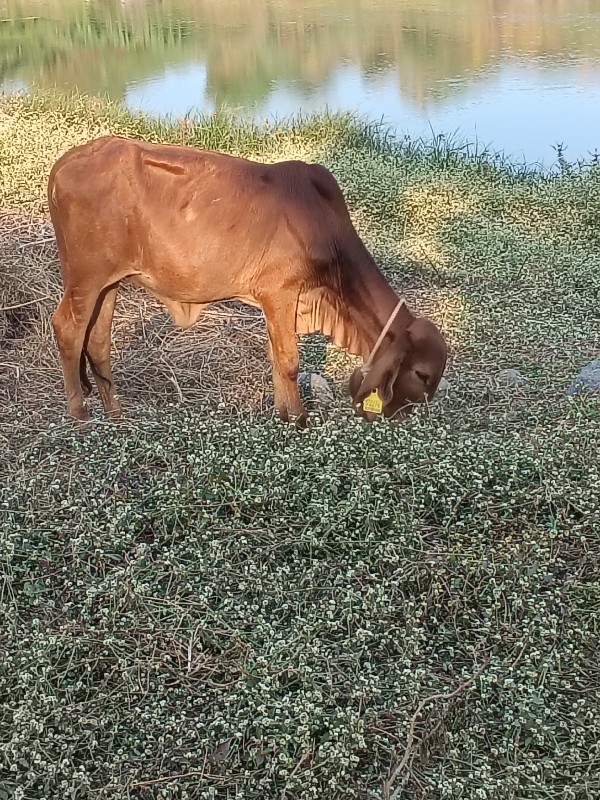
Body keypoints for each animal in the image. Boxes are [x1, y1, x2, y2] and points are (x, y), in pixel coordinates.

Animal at [48, 136, 446, 424]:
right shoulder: (281, 293)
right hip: (85, 277)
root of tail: (62, 164)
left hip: (108, 283)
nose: (405, 416)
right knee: (68, 328)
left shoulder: (276, 303)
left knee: (97, 341)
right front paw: (298, 420)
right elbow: (289, 361)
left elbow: (275, 360)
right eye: (422, 374)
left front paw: (284, 414)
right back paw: (80, 418)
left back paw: (115, 416)